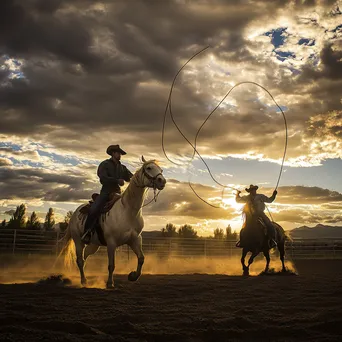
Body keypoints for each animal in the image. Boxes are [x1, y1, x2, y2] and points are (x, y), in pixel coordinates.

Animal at [59, 156, 166, 288]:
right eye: (149, 168)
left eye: (161, 169)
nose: (162, 181)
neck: (128, 211)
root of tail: (75, 213)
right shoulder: (111, 242)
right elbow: (111, 265)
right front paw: (110, 283)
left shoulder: (135, 239)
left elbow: (141, 258)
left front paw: (132, 276)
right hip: (78, 241)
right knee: (79, 260)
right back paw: (84, 281)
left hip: (94, 244)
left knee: (84, 257)